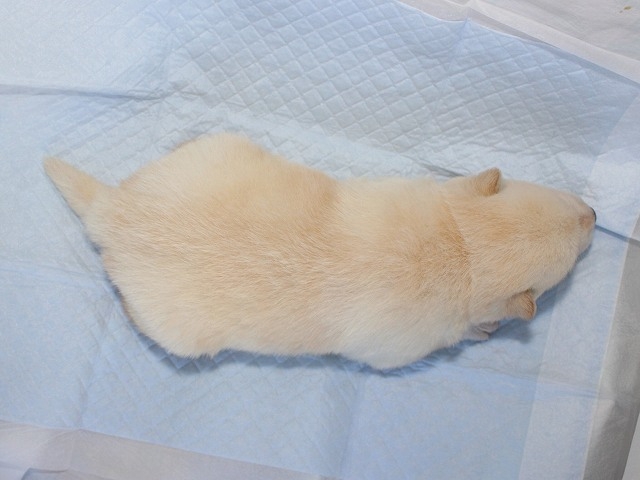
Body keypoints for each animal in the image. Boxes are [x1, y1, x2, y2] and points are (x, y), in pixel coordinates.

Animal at [44, 134, 596, 369]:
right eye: (571, 259)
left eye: (563, 199)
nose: (593, 212)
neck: (461, 245)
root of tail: (113, 209)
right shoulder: (400, 350)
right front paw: (483, 330)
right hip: (176, 332)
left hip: (216, 148)